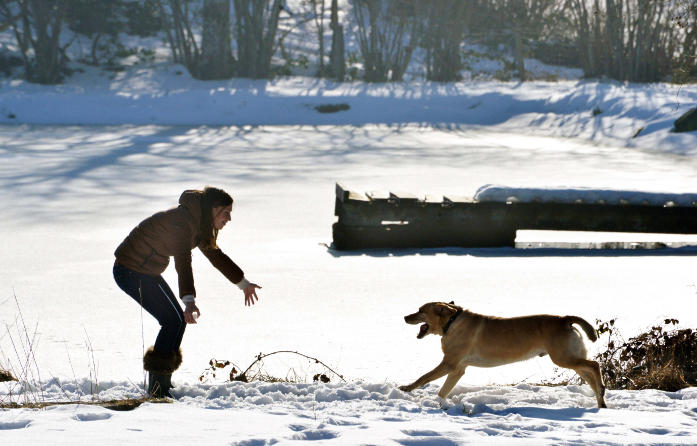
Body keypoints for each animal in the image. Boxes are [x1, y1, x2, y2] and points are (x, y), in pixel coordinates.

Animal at [400, 302, 608, 410]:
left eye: (421, 310)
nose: (405, 317)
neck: (451, 323)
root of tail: (565, 319)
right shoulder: (458, 369)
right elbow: (443, 391)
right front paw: (441, 404)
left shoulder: (449, 363)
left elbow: (423, 377)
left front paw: (406, 388)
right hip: (570, 358)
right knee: (590, 375)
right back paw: (601, 400)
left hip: (564, 358)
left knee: (595, 365)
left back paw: (602, 389)